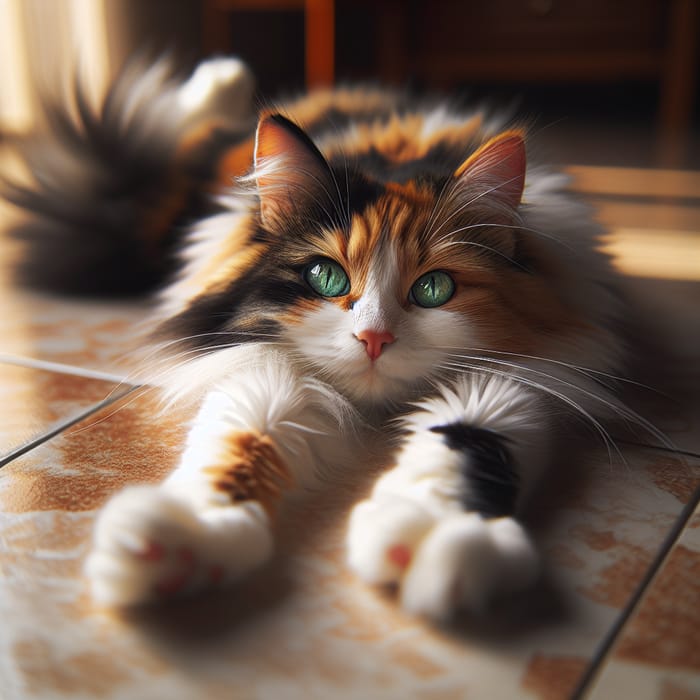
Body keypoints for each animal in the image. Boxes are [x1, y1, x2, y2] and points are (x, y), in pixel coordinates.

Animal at [1, 57, 636, 620]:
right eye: (325, 278)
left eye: (434, 288)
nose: (375, 338)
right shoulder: (264, 368)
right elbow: (236, 441)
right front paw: (182, 539)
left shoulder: (511, 378)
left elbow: (470, 443)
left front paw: (437, 538)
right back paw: (222, 77)